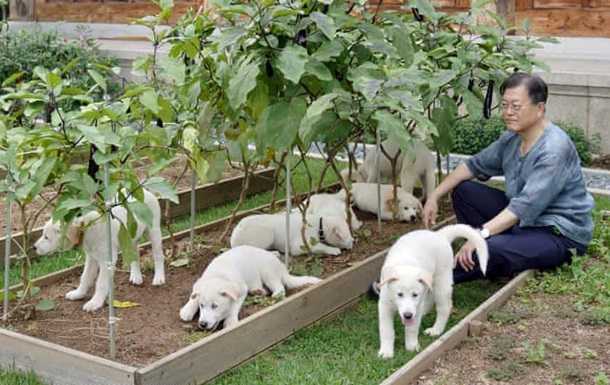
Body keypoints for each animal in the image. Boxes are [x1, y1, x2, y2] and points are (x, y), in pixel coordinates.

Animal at [33, 189, 165, 312]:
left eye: (46, 237)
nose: (33, 247)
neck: (87, 228)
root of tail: (144, 191)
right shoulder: (91, 258)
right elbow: (85, 277)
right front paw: (78, 293)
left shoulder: (106, 261)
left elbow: (100, 283)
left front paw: (95, 302)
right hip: (129, 237)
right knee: (134, 254)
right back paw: (136, 276)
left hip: (154, 231)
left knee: (158, 255)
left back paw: (159, 278)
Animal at [178, 244, 320, 328]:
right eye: (201, 306)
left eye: (215, 306)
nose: (202, 324)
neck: (219, 275)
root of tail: (282, 268)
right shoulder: (200, 283)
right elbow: (194, 296)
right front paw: (187, 310)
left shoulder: (241, 289)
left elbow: (234, 306)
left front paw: (230, 321)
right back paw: (258, 291)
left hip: (267, 271)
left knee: (280, 287)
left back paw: (274, 295)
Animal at [376, 222, 490, 356]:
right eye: (399, 294)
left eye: (415, 295)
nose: (408, 315)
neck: (405, 264)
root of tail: (440, 235)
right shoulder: (384, 305)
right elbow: (386, 330)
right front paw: (386, 352)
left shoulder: (417, 304)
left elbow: (412, 328)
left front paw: (411, 347)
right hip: (430, 282)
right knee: (430, 298)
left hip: (442, 283)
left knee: (444, 307)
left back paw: (436, 330)